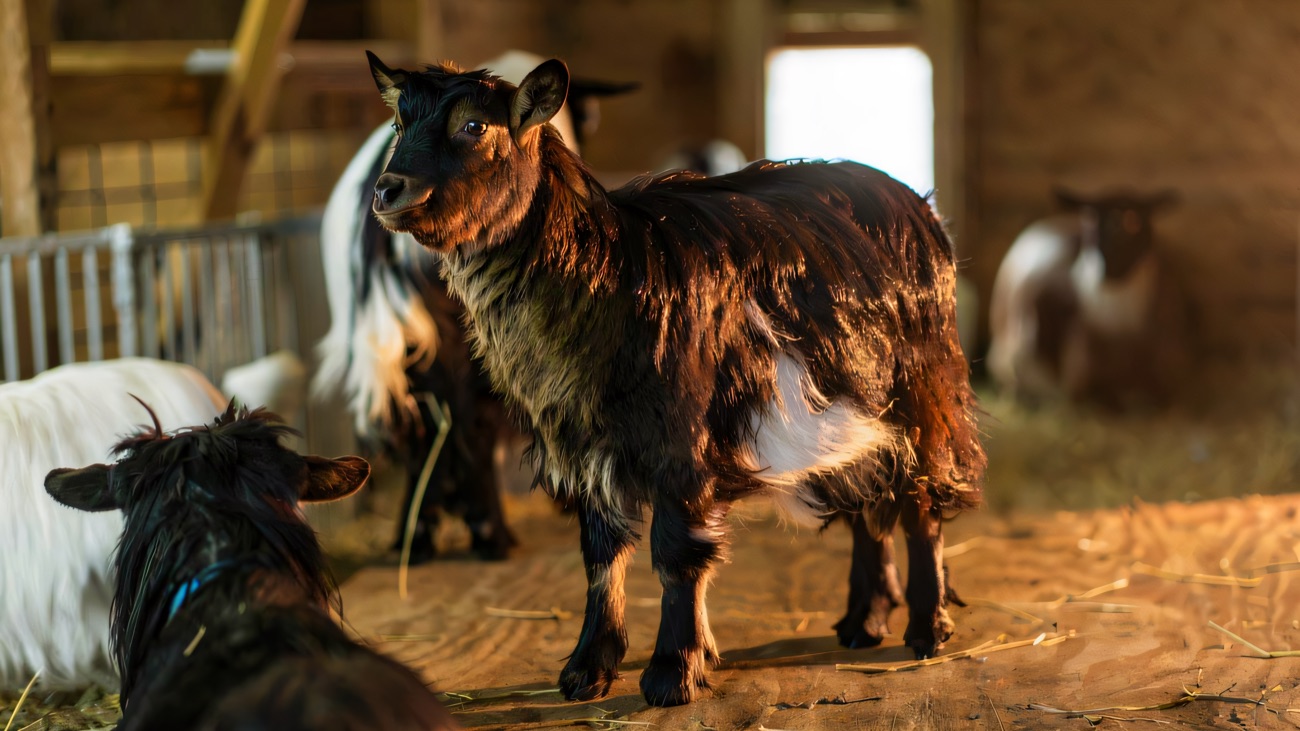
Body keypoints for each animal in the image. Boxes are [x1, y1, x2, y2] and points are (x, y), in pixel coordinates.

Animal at [313, 51, 635, 562]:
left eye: (472, 127)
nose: (389, 191)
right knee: (475, 415)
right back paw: (490, 531)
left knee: (425, 421)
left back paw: (417, 534)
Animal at [363, 54, 986, 707]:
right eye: (398, 122)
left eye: (475, 126)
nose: (388, 190)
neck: (610, 269)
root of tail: (916, 205)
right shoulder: (584, 445)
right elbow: (601, 554)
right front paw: (588, 669)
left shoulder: (681, 439)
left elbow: (676, 553)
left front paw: (673, 672)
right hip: (854, 401)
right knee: (867, 495)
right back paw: (863, 622)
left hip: (923, 391)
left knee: (920, 500)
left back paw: (926, 629)